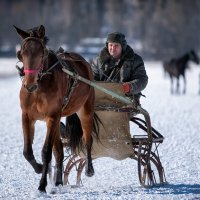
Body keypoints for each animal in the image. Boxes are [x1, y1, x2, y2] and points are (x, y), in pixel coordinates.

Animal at [13, 25, 100, 192]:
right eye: (21, 53)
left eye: (41, 54)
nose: (29, 85)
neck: (39, 87)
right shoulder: (27, 116)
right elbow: (27, 151)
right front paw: (40, 168)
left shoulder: (52, 116)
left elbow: (46, 151)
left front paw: (42, 185)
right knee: (59, 151)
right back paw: (59, 181)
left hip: (85, 109)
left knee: (87, 138)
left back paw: (89, 169)